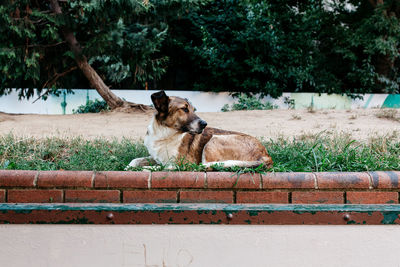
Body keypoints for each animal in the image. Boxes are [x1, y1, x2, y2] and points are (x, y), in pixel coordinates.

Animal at [127, 90, 272, 170]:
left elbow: (162, 166)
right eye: (184, 109)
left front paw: (146, 168)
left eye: (193, 109)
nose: (204, 124)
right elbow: (134, 160)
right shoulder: (155, 157)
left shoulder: (180, 163)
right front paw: (128, 166)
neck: (165, 134)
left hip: (214, 140)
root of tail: (266, 156)